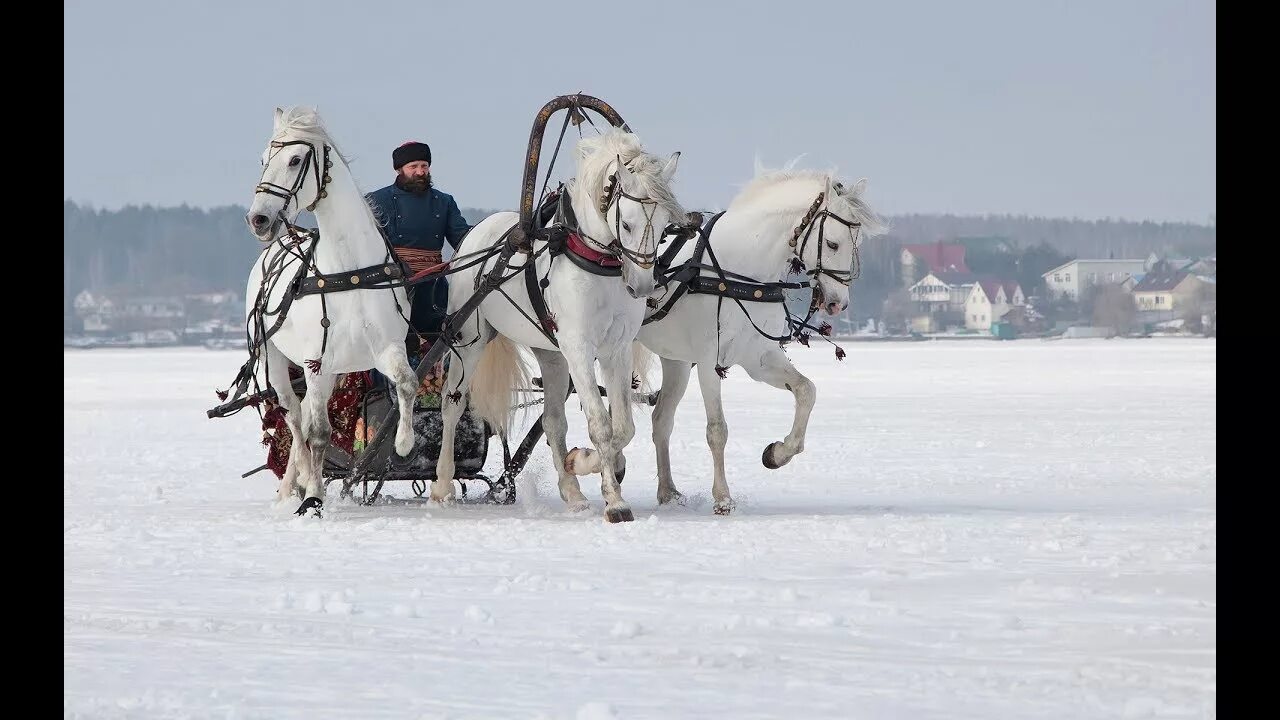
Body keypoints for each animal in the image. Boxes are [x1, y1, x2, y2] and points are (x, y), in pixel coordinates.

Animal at [240, 105, 419, 515]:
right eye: (262, 160)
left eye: (294, 159)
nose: (258, 219)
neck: (349, 273)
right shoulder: (315, 362)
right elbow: (318, 433)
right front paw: (313, 497)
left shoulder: (385, 349)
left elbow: (408, 382)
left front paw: (403, 444)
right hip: (275, 360)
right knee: (294, 417)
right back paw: (300, 480)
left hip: (335, 370)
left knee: (304, 414)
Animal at [432, 130, 691, 520]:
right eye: (626, 224)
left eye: (663, 229)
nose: (643, 287)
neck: (596, 259)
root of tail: (479, 233)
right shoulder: (579, 347)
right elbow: (600, 425)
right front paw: (614, 500)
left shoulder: (616, 349)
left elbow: (623, 427)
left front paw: (586, 464)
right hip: (469, 340)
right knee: (453, 405)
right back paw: (443, 486)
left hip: (550, 353)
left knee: (553, 420)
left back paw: (573, 492)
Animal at [565, 167, 885, 512]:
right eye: (833, 244)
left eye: (856, 244)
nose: (839, 303)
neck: (740, 269)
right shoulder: (710, 362)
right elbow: (717, 429)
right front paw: (723, 497)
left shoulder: (759, 358)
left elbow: (806, 391)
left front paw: (778, 453)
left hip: (676, 360)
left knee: (660, 420)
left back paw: (666, 490)